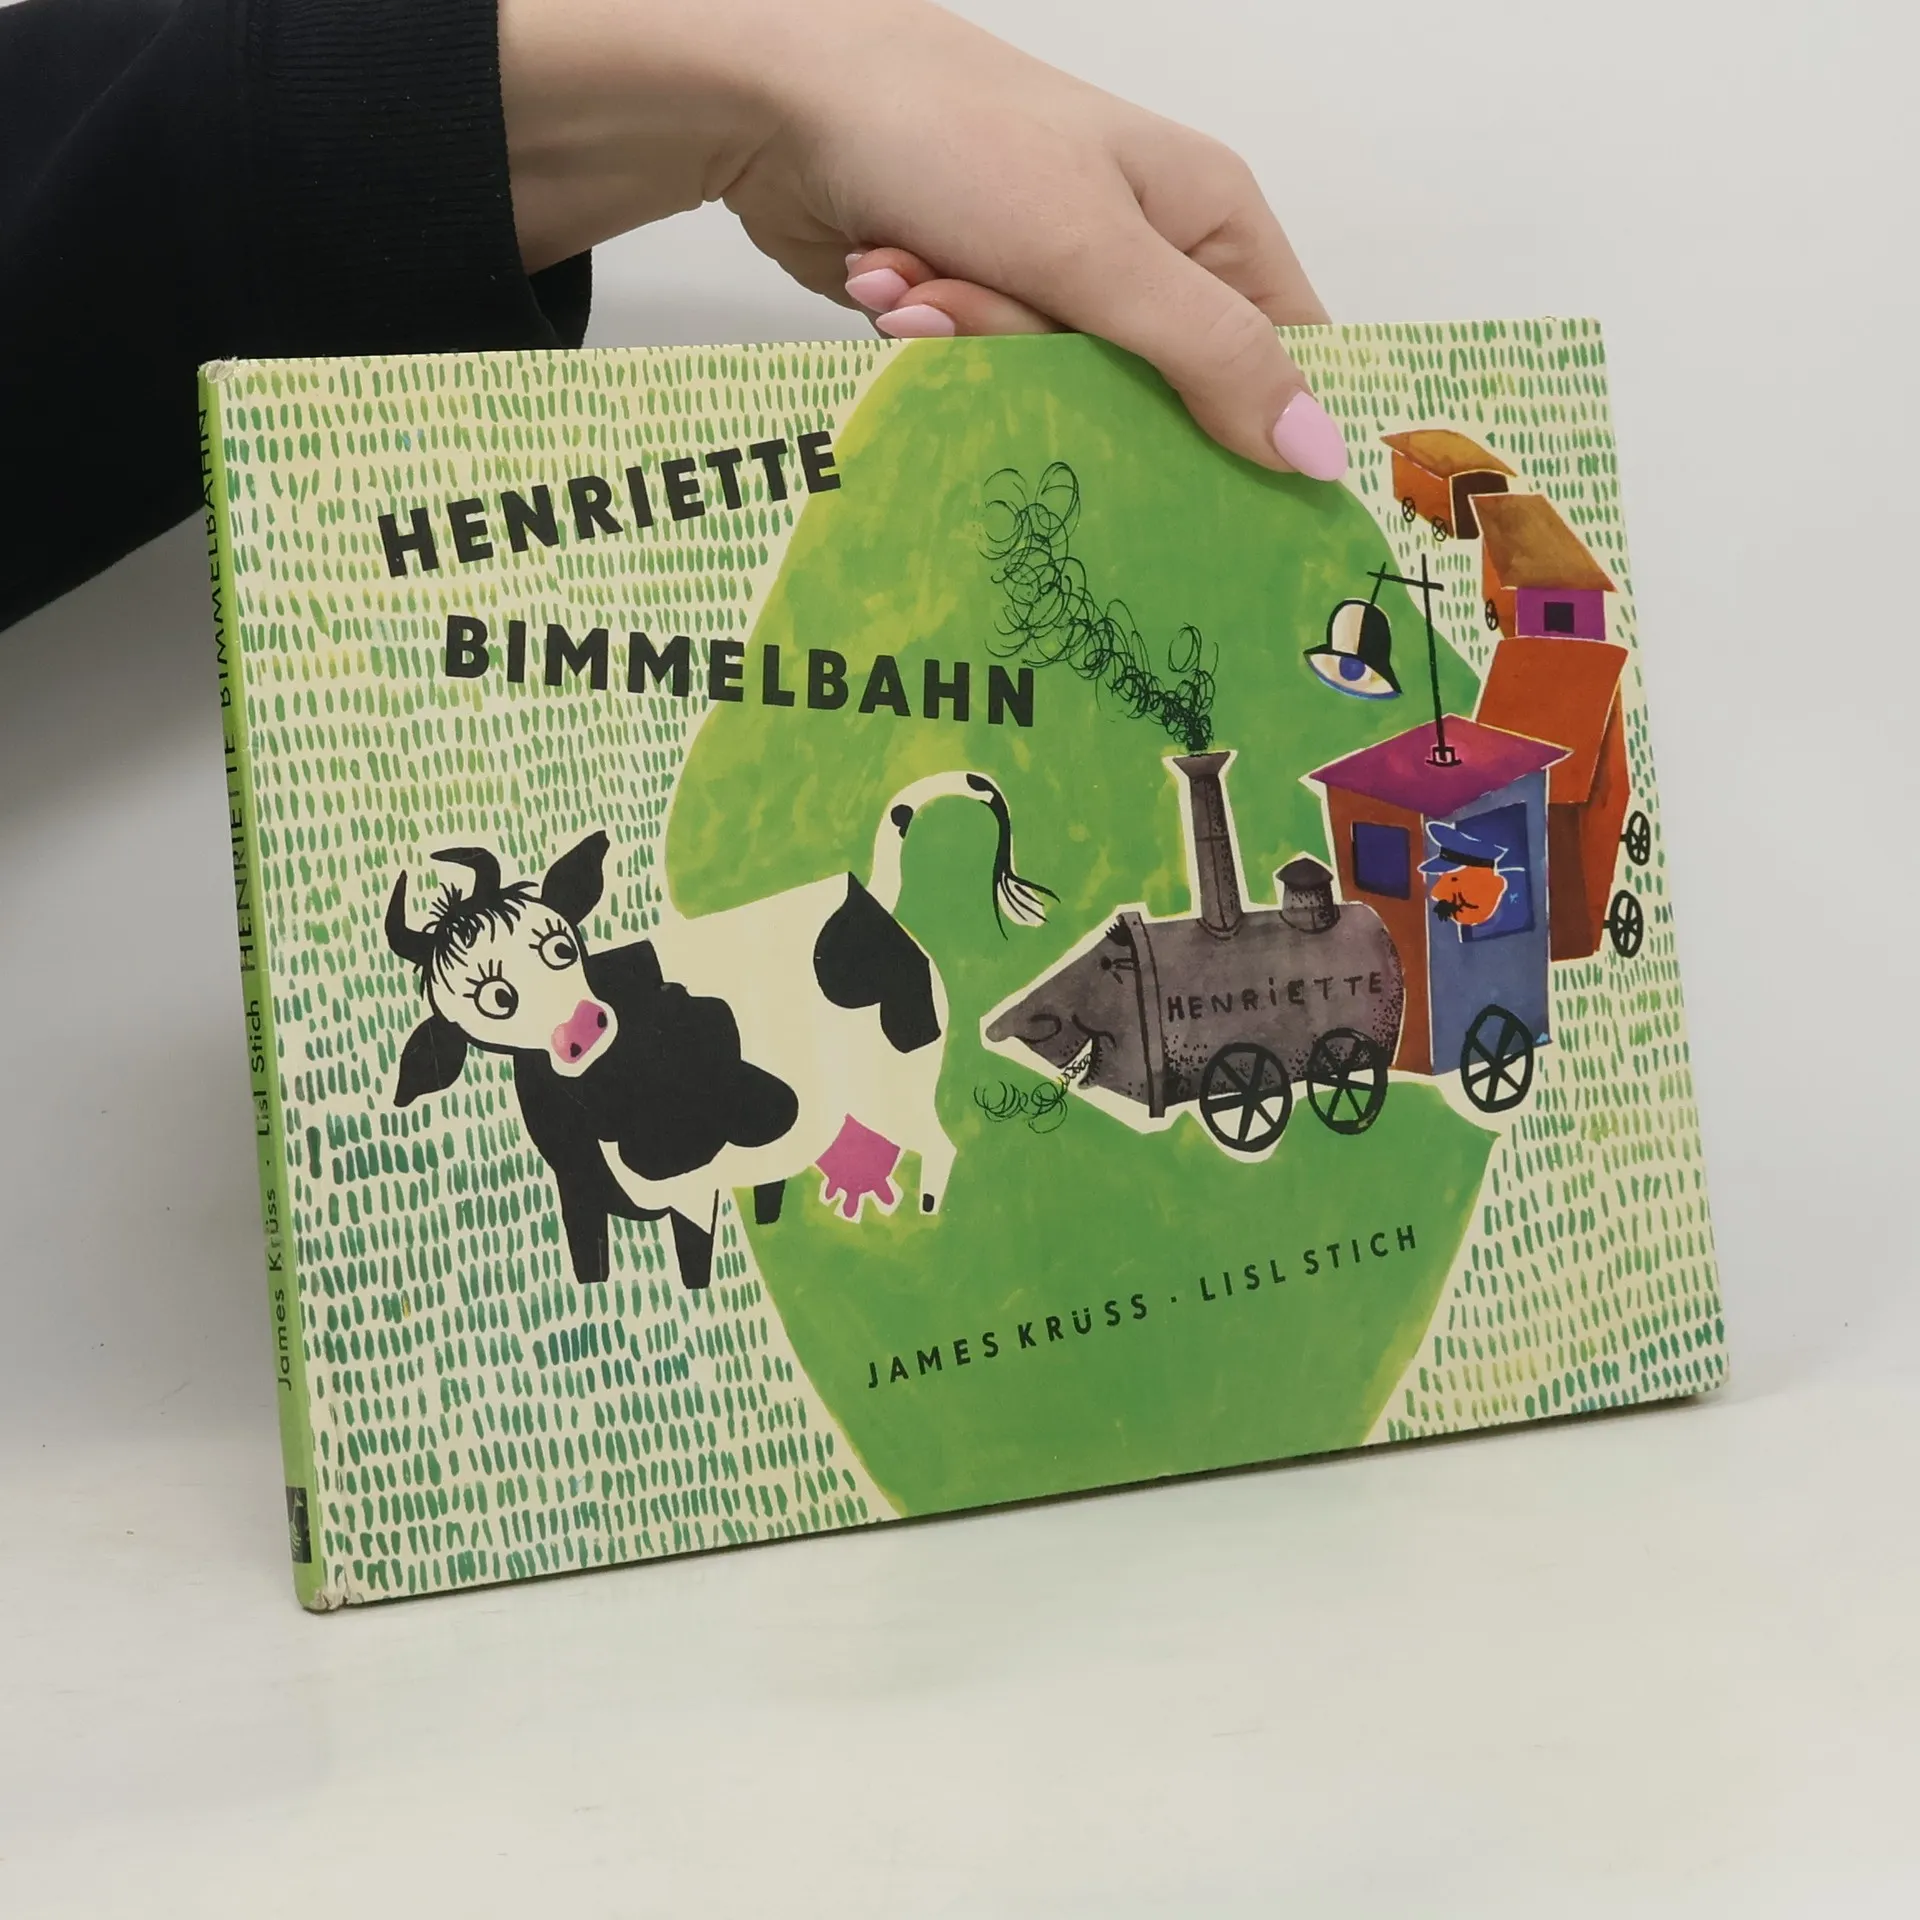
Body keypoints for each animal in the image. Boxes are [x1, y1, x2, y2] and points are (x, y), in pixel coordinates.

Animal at [383, 771, 1050, 1291]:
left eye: (560, 946)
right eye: (494, 997)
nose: (584, 1026)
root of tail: (864, 899)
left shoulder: (692, 1186)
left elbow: (694, 1269)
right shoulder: (577, 1193)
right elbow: (590, 1270)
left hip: (892, 1083)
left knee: (941, 1144)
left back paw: (930, 1216)